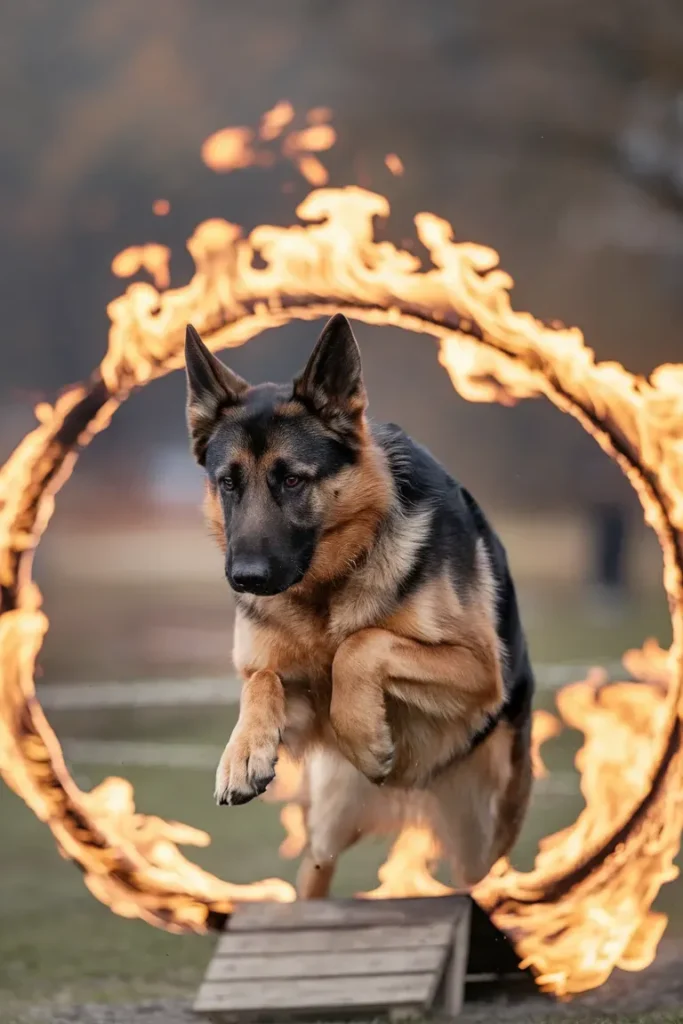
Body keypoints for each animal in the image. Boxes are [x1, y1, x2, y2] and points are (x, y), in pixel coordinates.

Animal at [184, 313, 536, 897]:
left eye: (292, 479)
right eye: (228, 483)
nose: (247, 578)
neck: (326, 591)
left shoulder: (478, 669)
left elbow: (360, 644)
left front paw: (367, 737)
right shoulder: (300, 700)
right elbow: (263, 679)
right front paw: (242, 755)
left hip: (480, 841)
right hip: (328, 825)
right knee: (315, 871)